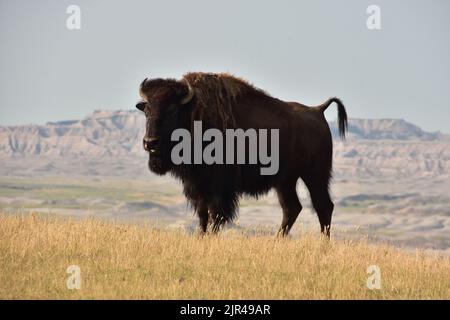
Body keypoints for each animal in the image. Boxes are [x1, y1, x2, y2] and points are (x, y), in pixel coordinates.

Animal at [137, 73, 348, 238]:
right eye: (147, 109)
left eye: (172, 110)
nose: (150, 142)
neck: (193, 114)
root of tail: (317, 110)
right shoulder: (198, 186)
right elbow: (203, 217)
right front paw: (201, 237)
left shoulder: (219, 188)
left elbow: (216, 216)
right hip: (285, 181)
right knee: (292, 208)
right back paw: (277, 240)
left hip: (315, 175)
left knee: (323, 206)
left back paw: (322, 245)